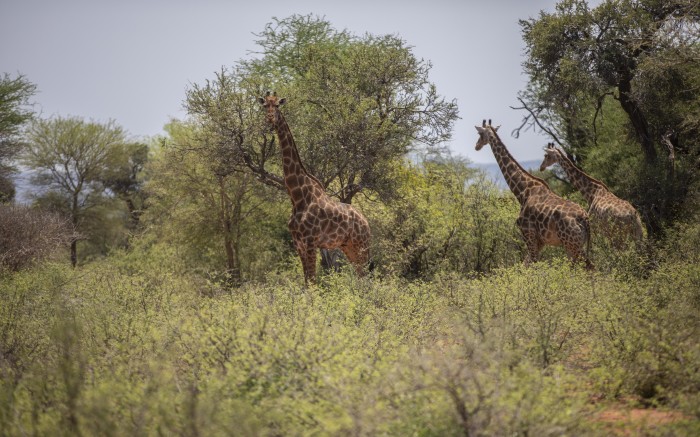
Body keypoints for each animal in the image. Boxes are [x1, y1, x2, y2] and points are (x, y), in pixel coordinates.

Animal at [258, 91, 372, 282]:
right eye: (265, 105)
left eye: (278, 105)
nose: (270, 119)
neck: (297, 197)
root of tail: (366, 223)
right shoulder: (298, 243)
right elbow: (306, 282)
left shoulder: (310, 242)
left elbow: (312, 282)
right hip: (348, 246)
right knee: (362, 277)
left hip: (361, 246)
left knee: (368, 278)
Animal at [474, 121, 592, 268]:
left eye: (480, 133)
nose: (476, 146)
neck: (523, 192)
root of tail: (585, 219)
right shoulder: (539, 241)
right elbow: (525, 264)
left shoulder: (528, 235)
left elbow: (532, 265)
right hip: (575, 244)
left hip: (572, 244)